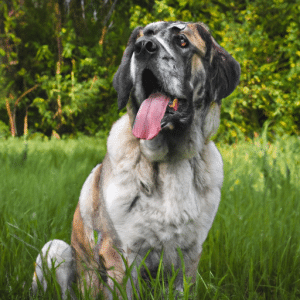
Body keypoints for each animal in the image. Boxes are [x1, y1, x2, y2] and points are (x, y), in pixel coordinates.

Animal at [32, 20, 240, 298]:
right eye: (142, 38)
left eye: (182, 41)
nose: (143, 48)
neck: (170, 161)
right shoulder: (121, 253)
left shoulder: (190, 254)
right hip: (55, 248)